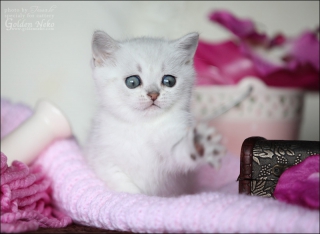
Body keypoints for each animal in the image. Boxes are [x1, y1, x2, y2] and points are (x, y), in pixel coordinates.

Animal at [85, 30, 225, 197]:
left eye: (169, 81)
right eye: (132, 82)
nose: (153, 94)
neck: (141, 125)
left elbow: (177, 151)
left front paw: (199, 146)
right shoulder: (104, 162)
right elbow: (127, 189)